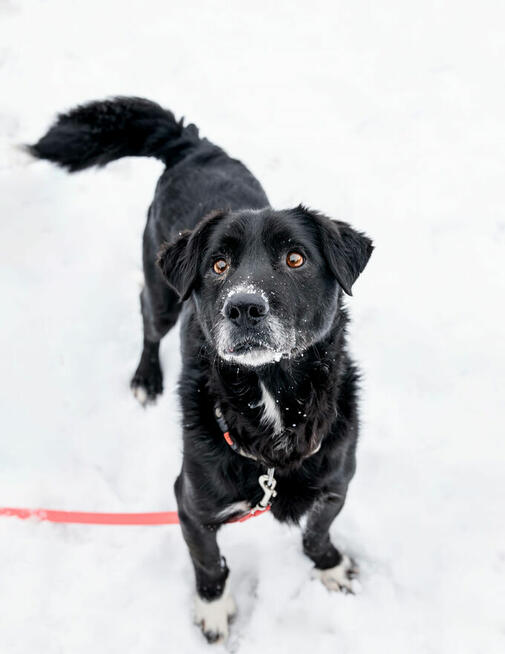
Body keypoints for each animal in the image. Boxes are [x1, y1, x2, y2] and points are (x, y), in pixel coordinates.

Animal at [29, 98, 372, 644]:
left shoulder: (337, 480)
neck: (273, 406)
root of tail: (193, 144)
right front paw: (213, 610)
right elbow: (209, 562)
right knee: (147, 315)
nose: (244, 307)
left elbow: (317, 530)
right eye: (218, 266)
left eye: (296, 258)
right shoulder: (190, 506)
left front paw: (330, 566)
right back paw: (146, 379)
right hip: (162, 293)